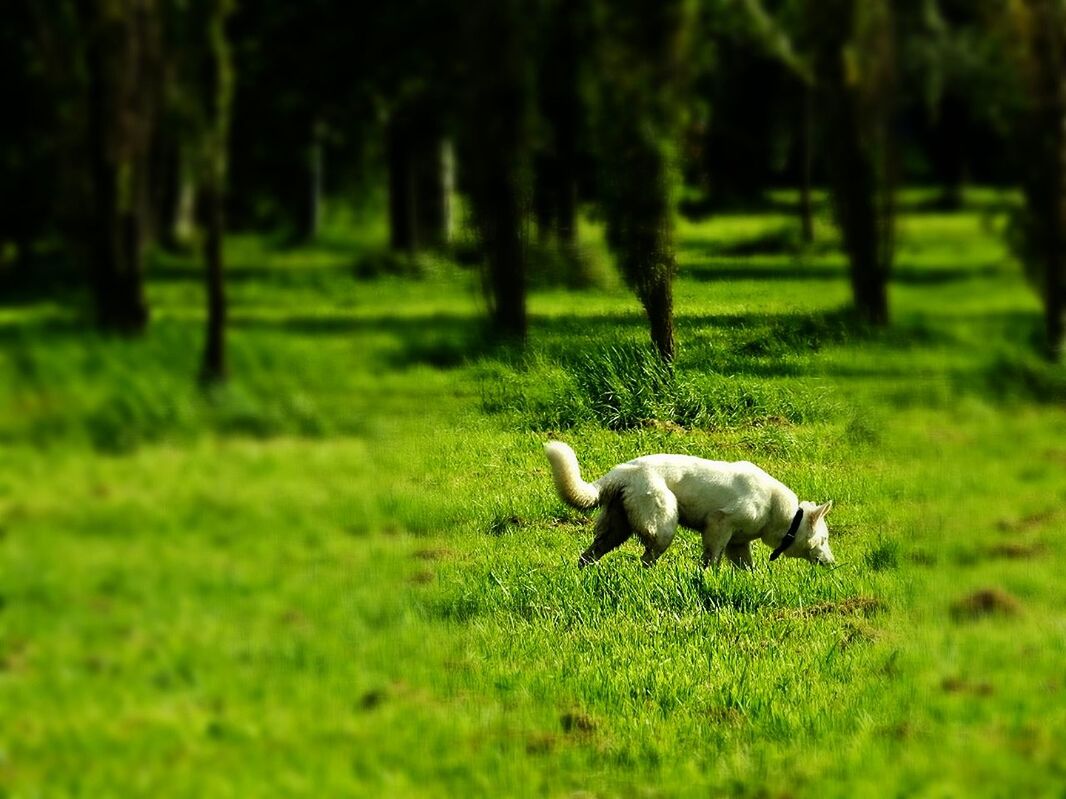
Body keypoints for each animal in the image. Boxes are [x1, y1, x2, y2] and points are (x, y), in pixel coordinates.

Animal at [545, 445, 835, 571]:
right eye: (824, 539)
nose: (833, 564)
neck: (784, 515)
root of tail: (622, 471)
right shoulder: (719, 525)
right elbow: (711, 561)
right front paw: (708, 579)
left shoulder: (738, 544)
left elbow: (746, 568)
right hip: (663, 527)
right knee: (645, 560)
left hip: (615, 531)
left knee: (588, 556)